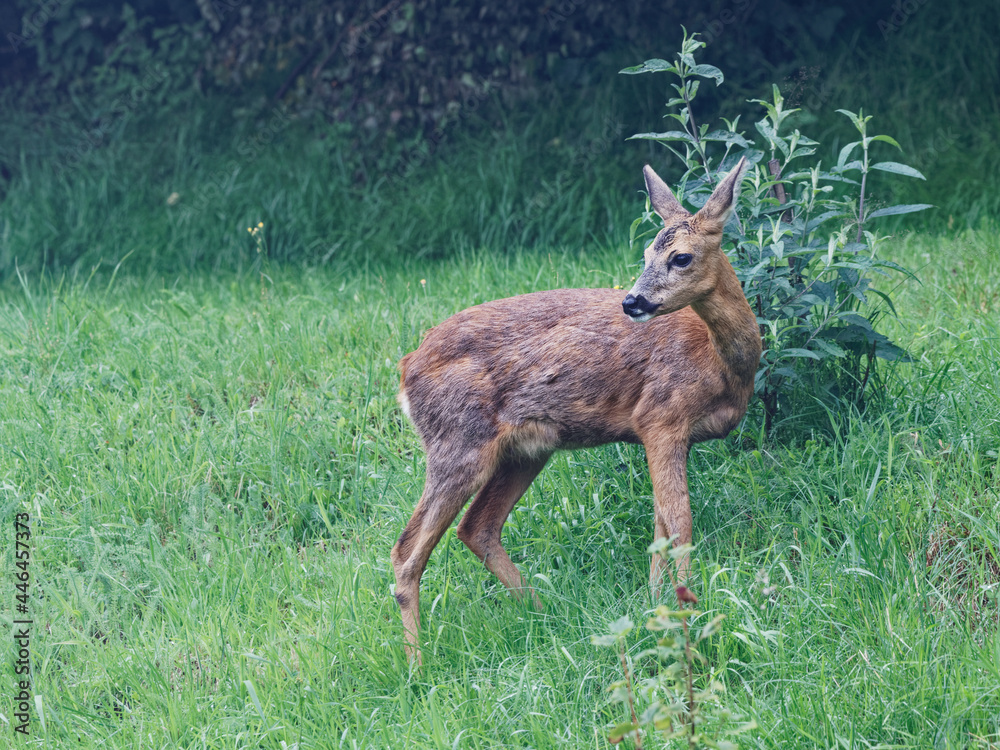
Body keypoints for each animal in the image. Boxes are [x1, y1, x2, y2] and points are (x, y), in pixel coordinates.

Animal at [390, 159, 756, 664]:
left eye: (680, 257)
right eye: (646, 253)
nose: (632, 301)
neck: (721, 364)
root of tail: (406, 369)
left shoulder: (665, 434)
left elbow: (660, 523)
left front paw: (655, 605)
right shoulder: (660, 417)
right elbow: (679, 521)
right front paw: (686, 614)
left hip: (525, 451)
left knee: (477, 527)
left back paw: (548, 615)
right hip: (457, 442)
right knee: (406, 551)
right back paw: (419, 664)